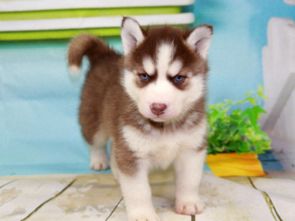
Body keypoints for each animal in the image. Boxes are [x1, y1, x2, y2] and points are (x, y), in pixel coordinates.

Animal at [68, 16, 213, 221]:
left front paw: (188, 203)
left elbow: (189, 181)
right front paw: (143, 214)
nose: (158, 106)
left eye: (178, 78)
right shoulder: (132, 154)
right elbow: (139, 190)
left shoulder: (191, 149)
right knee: (96, 142)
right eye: (144, 76)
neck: (163, 127)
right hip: (94, 120)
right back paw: (99, 161)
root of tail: (105, 56)